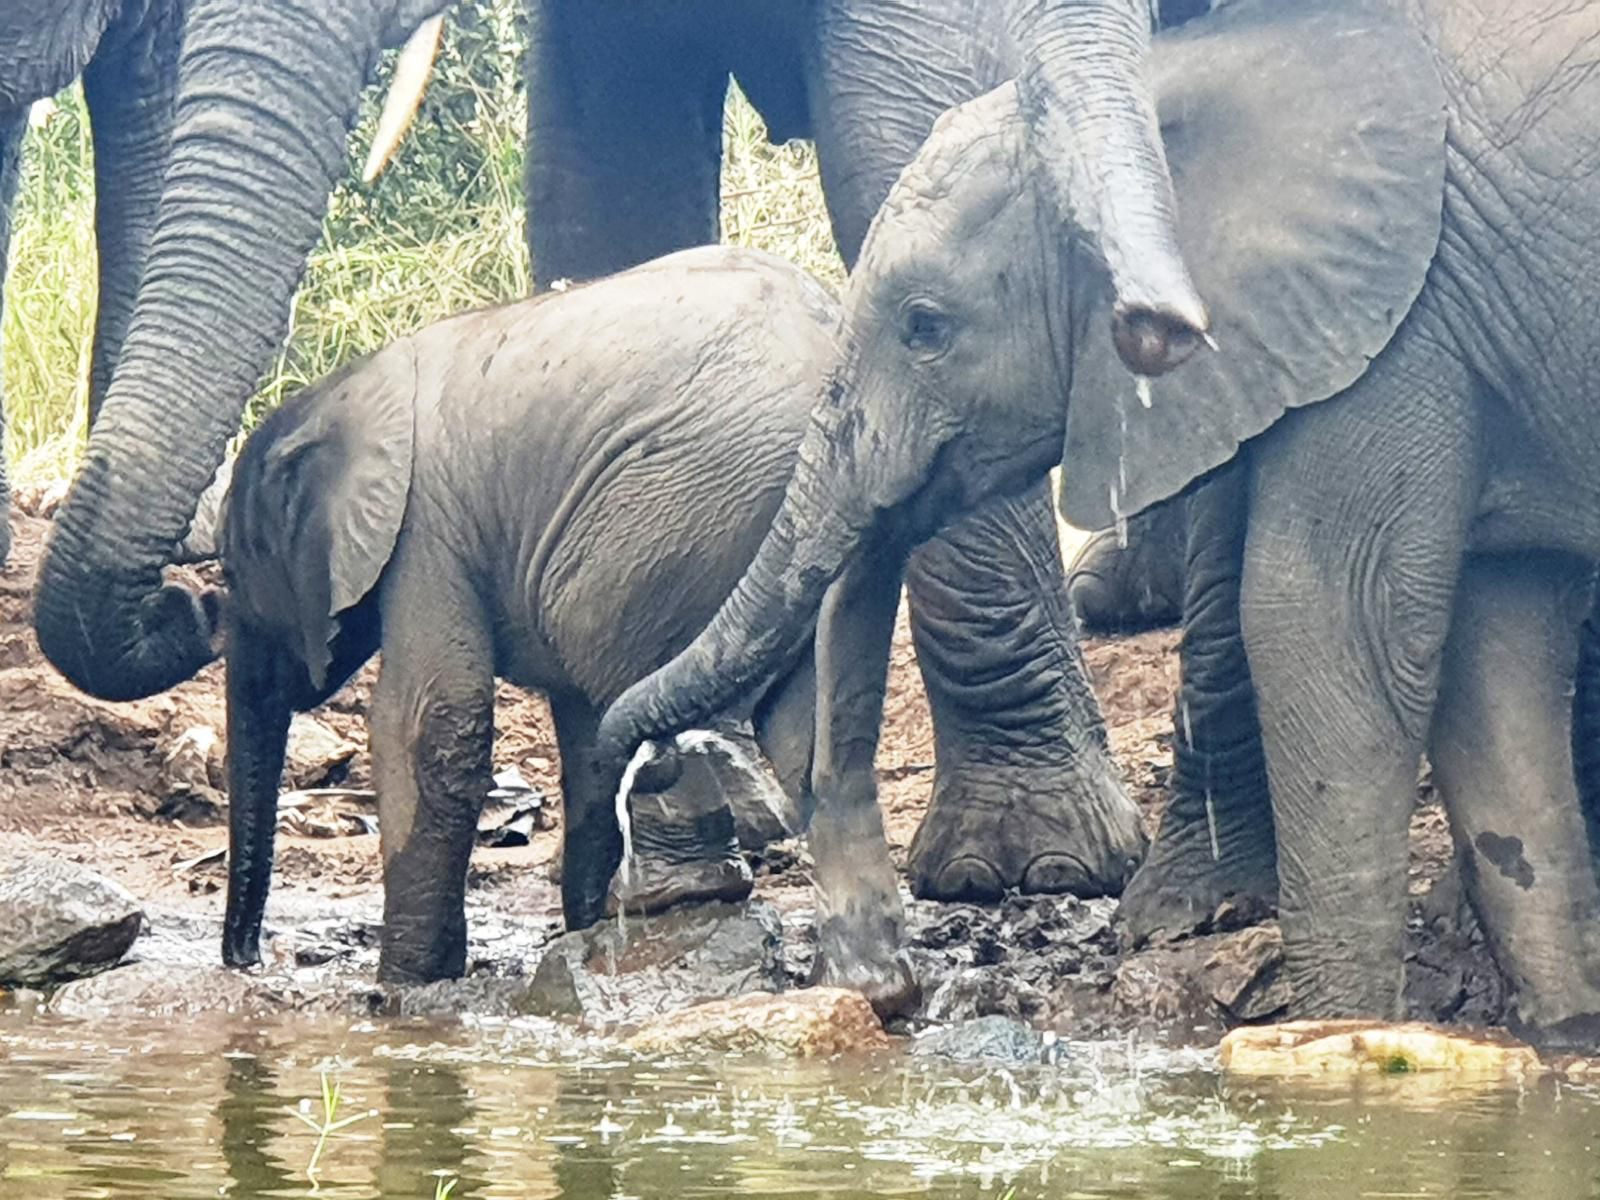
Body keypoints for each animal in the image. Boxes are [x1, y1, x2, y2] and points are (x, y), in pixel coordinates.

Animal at [31, 0, 1203, 908]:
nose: (188, 605)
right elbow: (605, 170)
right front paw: (689, 849)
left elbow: (924, 147)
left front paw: (1025, 870)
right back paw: (1123, 594)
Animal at [225, 246, 851, 985]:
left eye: (231, 574)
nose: (247, 959)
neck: (339, 395)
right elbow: (570, 729)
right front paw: (565, 934)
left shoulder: (424, 528)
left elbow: (431, 717)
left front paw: (402, 986)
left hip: (684, 506)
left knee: (607, 651)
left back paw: (681, 894)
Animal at [601, 0, 1600, 1036]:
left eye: (925, 328)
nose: (880, 987)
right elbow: (1495, 666)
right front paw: (1566, 1039)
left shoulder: (1395, 335)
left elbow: (1328, 633)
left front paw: (1339, 1035)